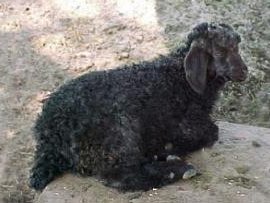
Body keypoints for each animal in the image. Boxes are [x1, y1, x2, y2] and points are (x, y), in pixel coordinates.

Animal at [29, 23, 247, 191]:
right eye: (220, 50)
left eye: (237, 46)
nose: (244, 71)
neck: (178, 78)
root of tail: (49, 138)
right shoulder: (188, 125)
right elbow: (212, 131)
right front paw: (168, 149)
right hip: (117, 132)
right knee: (119, 176)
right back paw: (177, 169)